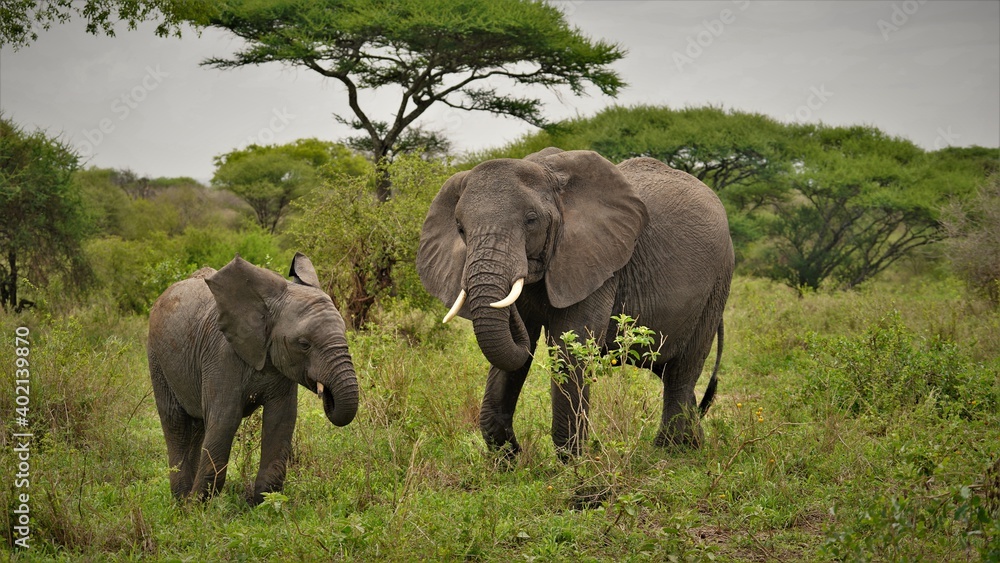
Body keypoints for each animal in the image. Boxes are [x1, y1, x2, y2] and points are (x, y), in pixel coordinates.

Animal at [147, 253, 359, 505]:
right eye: (303, 344)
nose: (327, 393)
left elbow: (281, 419)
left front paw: (264, 503)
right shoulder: (221, 356)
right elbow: (225, 419)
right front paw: (198, 507)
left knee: (198, 425)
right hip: (156, 357)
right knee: (175, 422)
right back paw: (181, 501)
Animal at [417, 148, 734, 457]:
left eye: (531, 220)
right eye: (460, 228)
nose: (516, 452)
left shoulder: (597, 261)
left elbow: (569, 344)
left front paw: (572, 463)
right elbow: (515, 353)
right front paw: (510, 460)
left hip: (717, 285)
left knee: (682, 372)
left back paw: (670, 451)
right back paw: (692, 445)